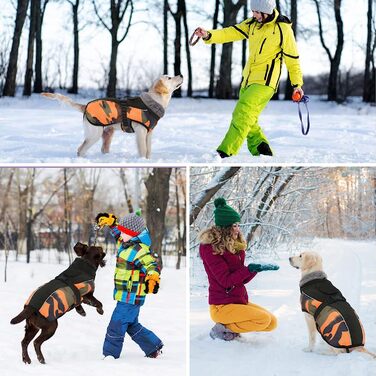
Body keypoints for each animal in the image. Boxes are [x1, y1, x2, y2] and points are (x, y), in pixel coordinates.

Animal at [41, 75, 183, 159]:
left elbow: (148, 150)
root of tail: (85, 106)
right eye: (169, 77)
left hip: (107, 133)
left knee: (103, 149)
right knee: (80, 149)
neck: (154, 101)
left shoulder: (149, 133)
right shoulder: (140, 132)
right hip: (94, 134)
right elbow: (143, 150)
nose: (181, 75)